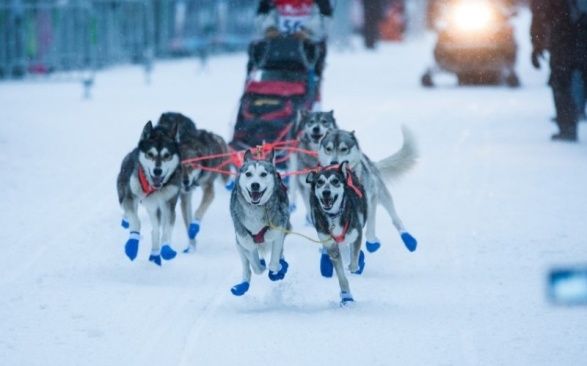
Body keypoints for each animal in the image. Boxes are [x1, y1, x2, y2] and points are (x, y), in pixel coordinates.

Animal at [118, 121, 183, 266]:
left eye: (167, 155)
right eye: (150, 154)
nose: (157, 171)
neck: (155, 188)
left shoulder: (169, 204)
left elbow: (166, 230)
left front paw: (166, 249)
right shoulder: (130, 197)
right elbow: (136, 221)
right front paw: (132, 244)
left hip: (155, 207)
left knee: (156, 229)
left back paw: (155, 255)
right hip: (136, 200)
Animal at [158, 113, 232, 253]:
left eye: (191, 166)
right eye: (178, 169)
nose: (185, 181)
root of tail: (215, 136)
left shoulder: (209, 190)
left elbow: (197, 213)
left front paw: (194, 228)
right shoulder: (185, 197)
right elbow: (188, 220)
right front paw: (191, 246)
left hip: (223, 175)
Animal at [232, 149, 292, 294]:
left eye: (263, 174)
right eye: (248, 174)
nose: (255, 185)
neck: (255, 209)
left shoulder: (278, 234)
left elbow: (274, 264)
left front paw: (277, 270)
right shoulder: (246, 242)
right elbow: (256, 267)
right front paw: (261, 266)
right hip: (238, 244)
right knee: (247, 267)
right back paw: (243, 284)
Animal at [308, 163, 368, 306]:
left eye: (335, 181)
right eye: (319, 182)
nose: (326, 192)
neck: (333, 216)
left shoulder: (356, 234)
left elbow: (354, 260)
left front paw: (353, 266)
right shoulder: (330, 244)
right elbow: (341, 275)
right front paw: (346, 295)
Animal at [320, 127, 420, 258]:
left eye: (344, 149)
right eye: (328, 149)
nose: (333, 162)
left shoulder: (371, 199)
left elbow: (370, 227)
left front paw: (371, 242)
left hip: (383, 196)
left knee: (395, 219)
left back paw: (407, 237)